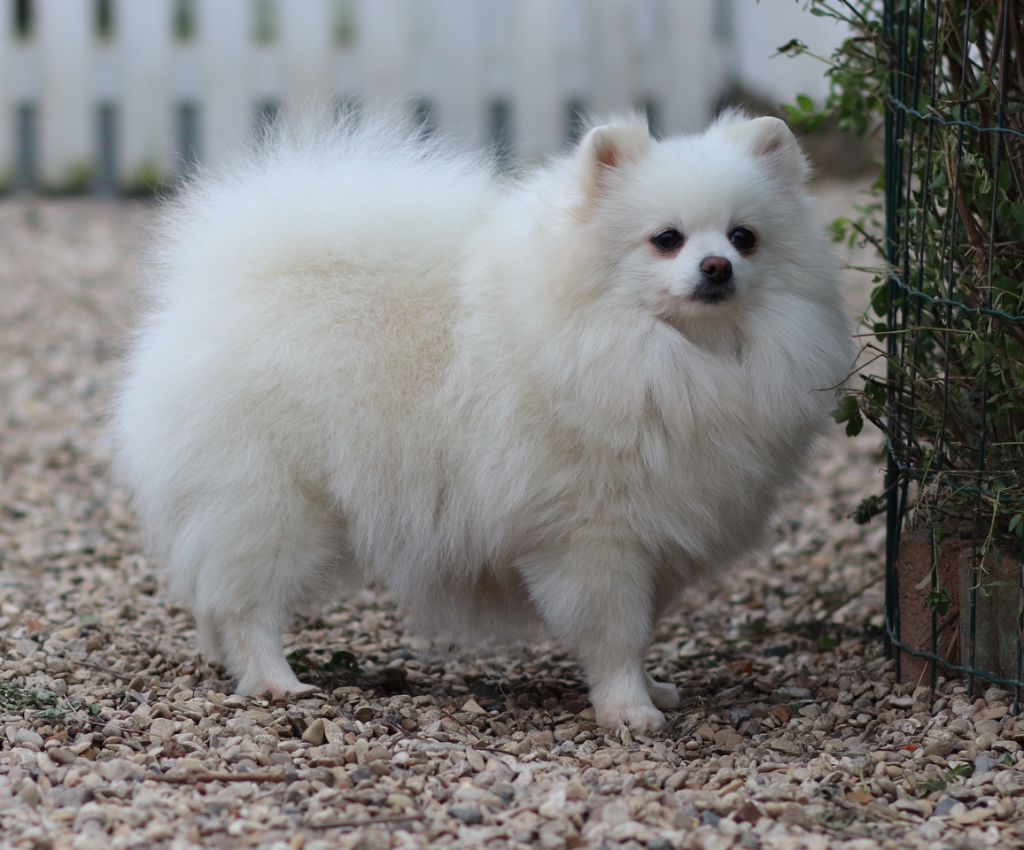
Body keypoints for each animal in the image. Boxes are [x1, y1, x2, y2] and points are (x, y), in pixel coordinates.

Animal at [112, 106, 851, 733]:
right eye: (666, 240)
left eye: (744, 237)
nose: (717, 266)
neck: (676, 357)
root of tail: (216, 291)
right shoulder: (595, 536)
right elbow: (615, 633)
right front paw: (628, 710)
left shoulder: (662, 530)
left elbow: (641, 631)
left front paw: (653, 689)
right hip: (275, 503)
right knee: (248, 605)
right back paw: (274, 682)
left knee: (215, 593)